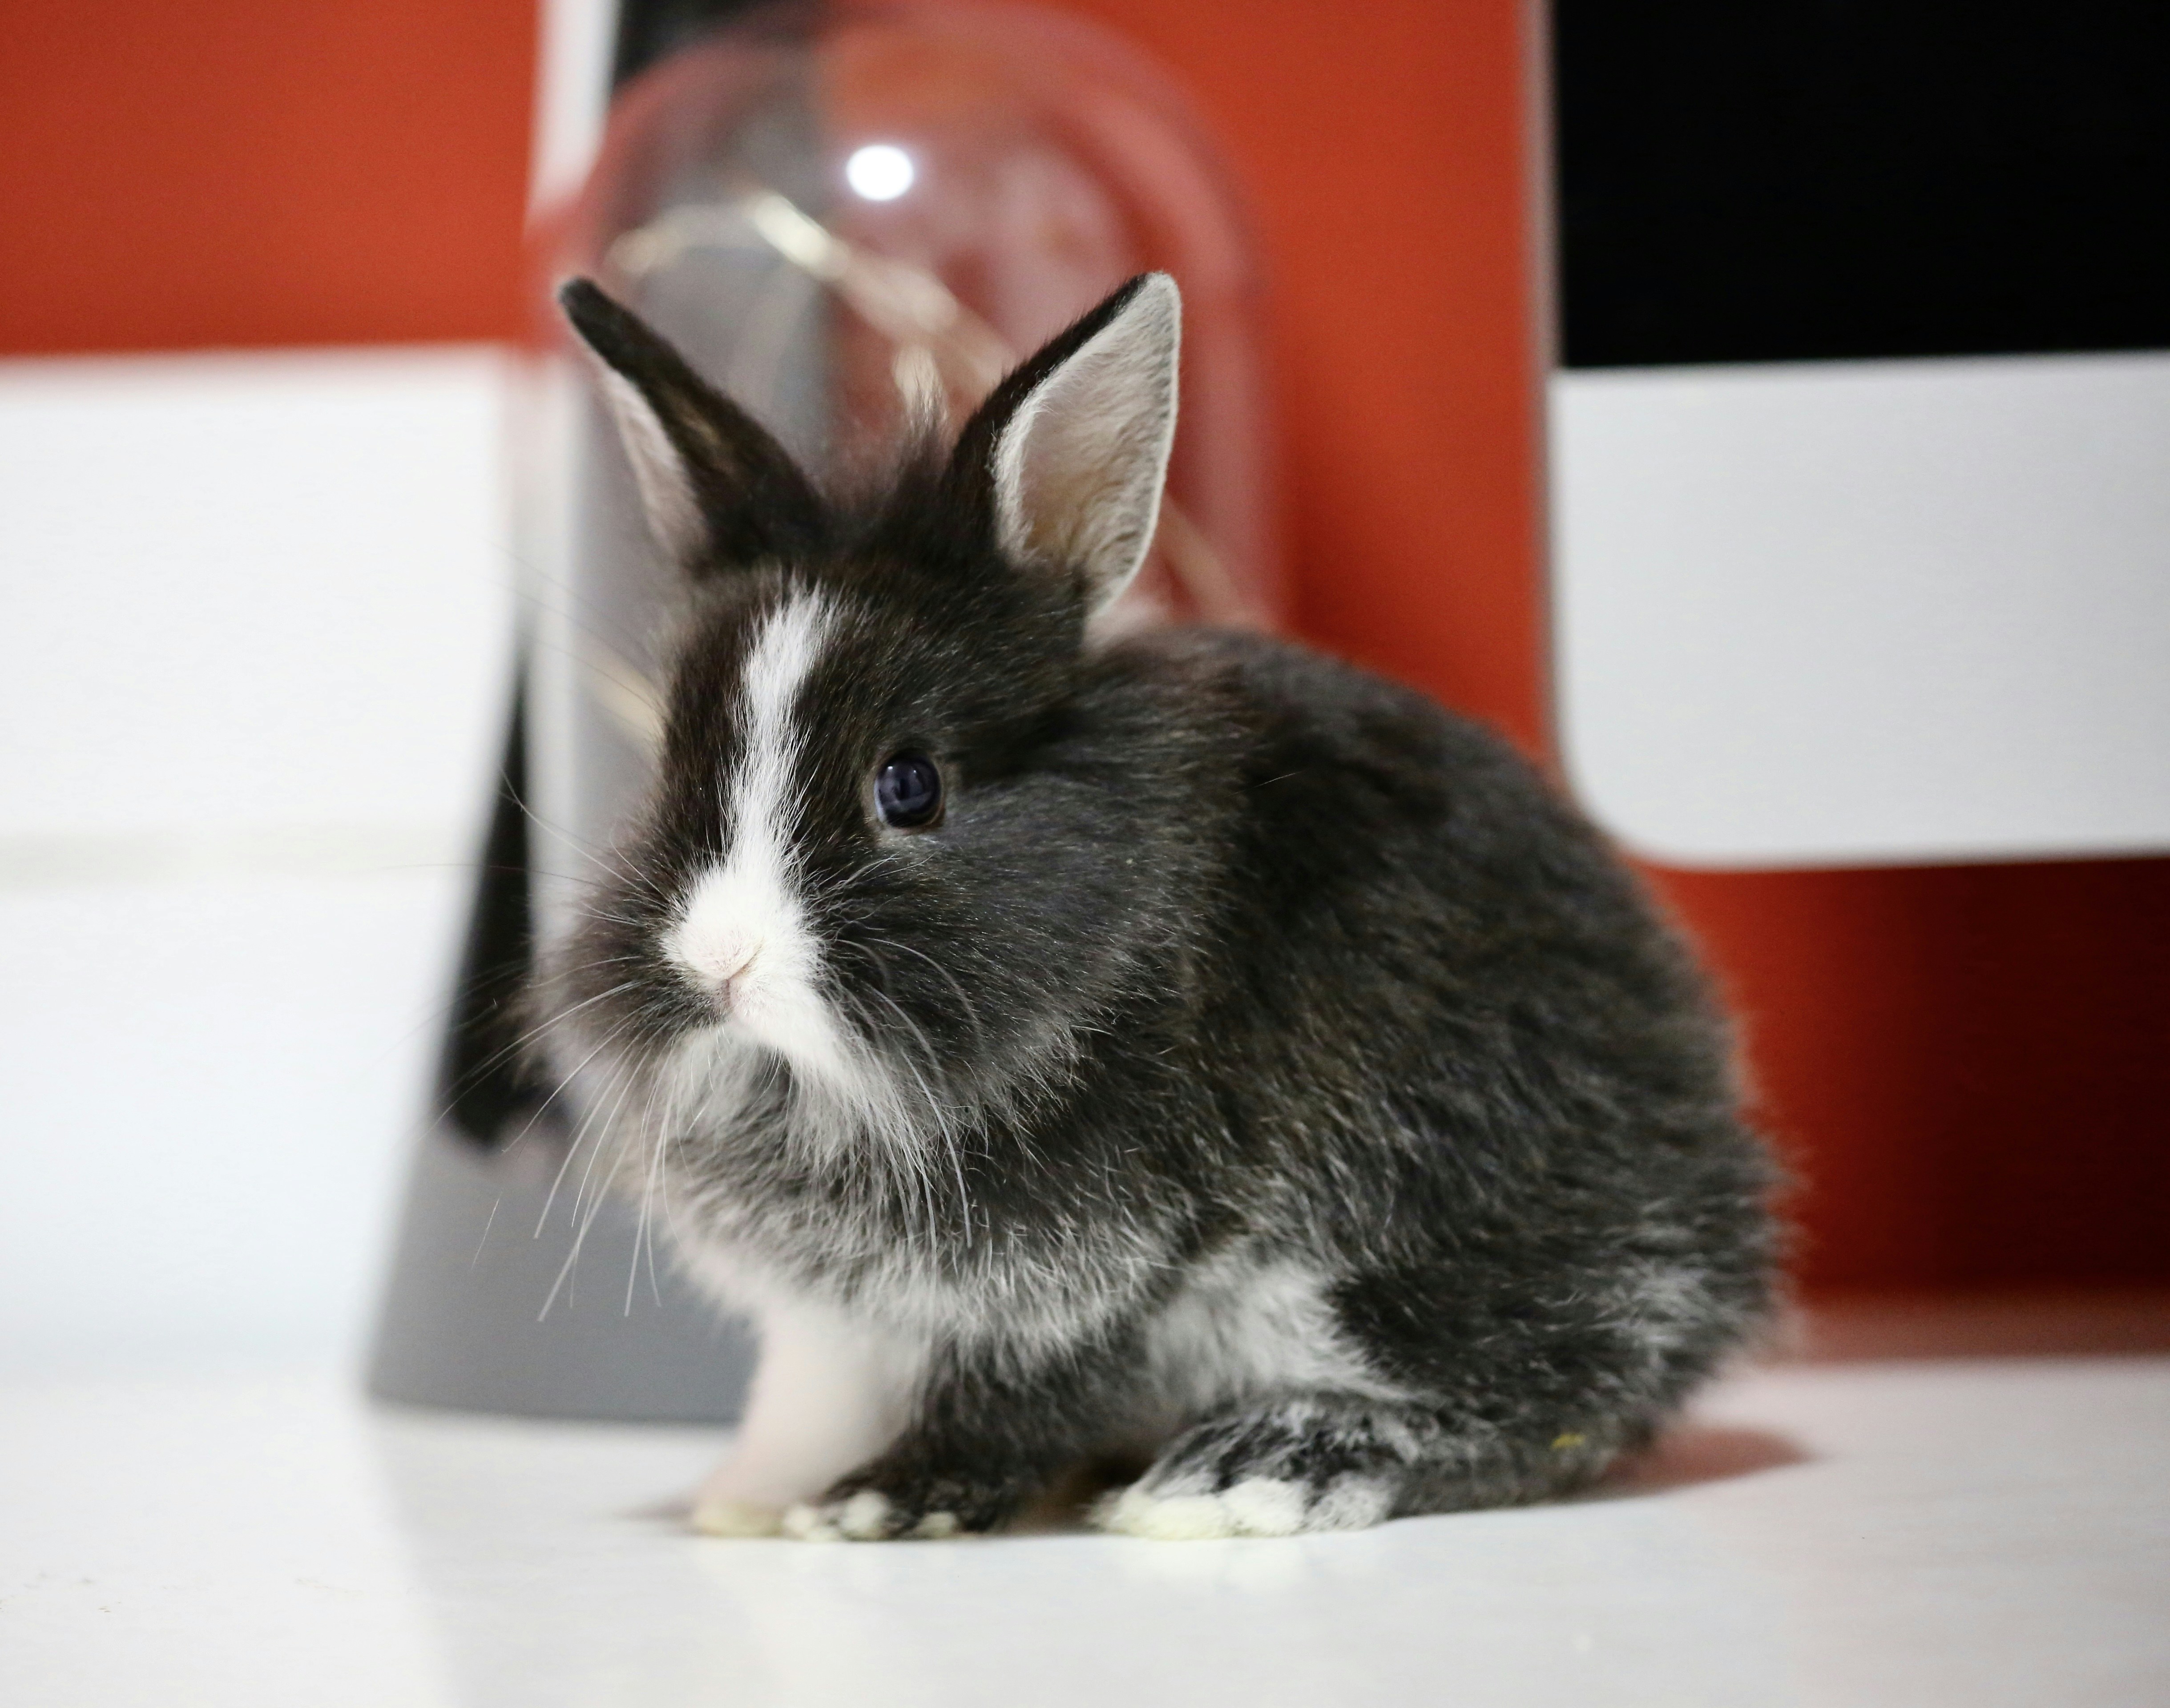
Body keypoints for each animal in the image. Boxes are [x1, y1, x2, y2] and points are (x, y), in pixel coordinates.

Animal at [545, 270, 1777, 1541]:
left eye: (910, 785)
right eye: (670, 772)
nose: (718, 962)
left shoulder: (1093, 1279)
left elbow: (1022, 1396)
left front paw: (880, 1505)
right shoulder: (839, 1331)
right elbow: (810, 1391)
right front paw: (749, 1502)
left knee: (1546, 1393)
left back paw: (1253, 1470)